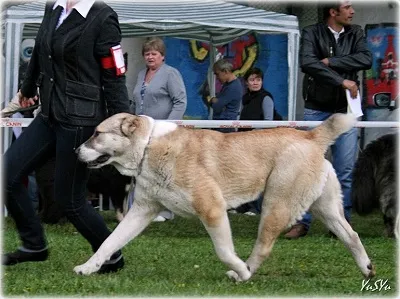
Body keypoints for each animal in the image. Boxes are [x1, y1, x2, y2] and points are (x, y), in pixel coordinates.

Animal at [72, 112, 376, 282]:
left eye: (97, 134)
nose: (75, 151)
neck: (149, 146)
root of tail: (311, 136)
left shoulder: (212, 209)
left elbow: (224, 251)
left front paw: (240, 269)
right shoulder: (141, 211)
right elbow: (109, 242)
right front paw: (88, 268)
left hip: (275, 205)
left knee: (264, 246)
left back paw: (245, 274)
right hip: (326, 208)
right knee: (351, 235)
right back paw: (368, 270)